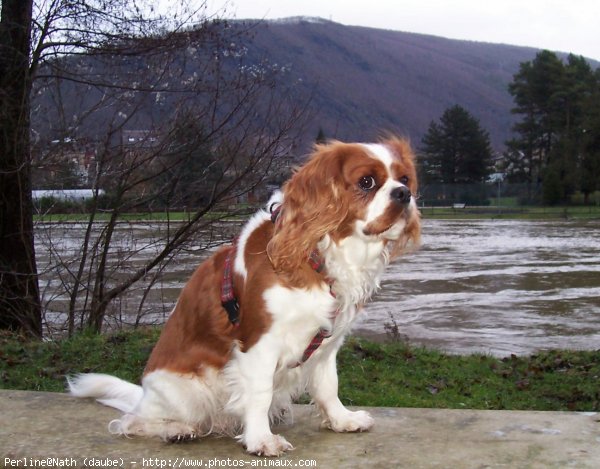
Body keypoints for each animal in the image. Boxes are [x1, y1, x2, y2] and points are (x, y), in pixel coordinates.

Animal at [68, 135, 420, 454]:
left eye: (404, 179)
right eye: (366, 182)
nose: (404, 194)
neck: (318, 253)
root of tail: (143, 394)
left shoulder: (327, 343)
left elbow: (328, 385)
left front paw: (341, 419)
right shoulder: (260, 343)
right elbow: (259, 394)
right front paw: (261, 439)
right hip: (187, 394)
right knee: (134, 421)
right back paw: (174, 429)